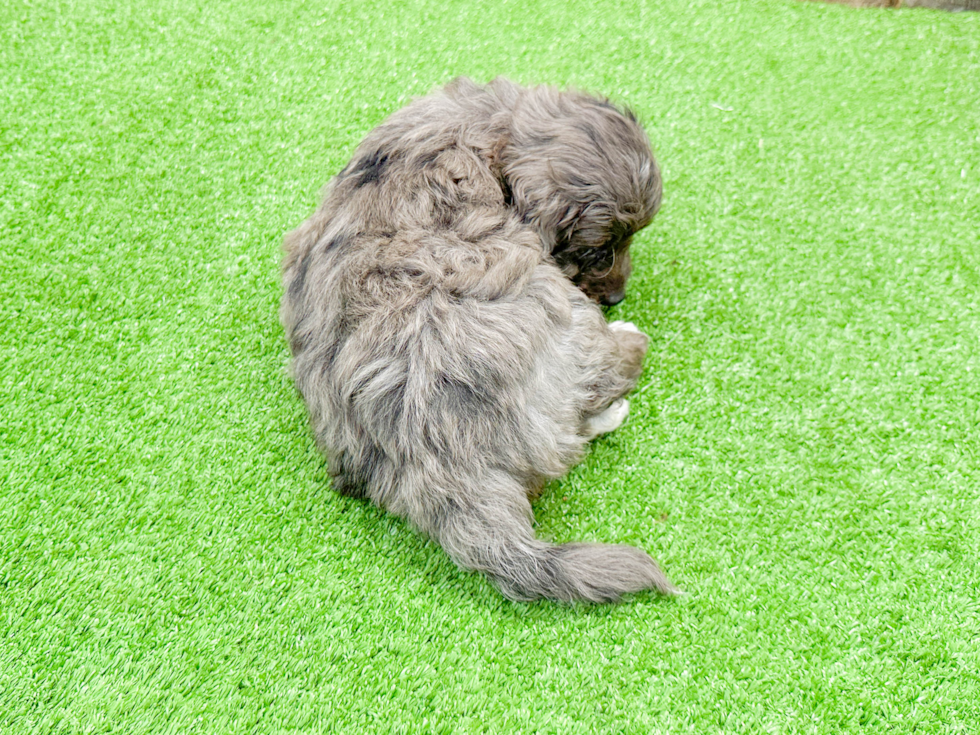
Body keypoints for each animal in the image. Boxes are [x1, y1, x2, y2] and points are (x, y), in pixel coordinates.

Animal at [278, 76, 672, 604]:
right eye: (598, 249)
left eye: (632, 237)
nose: (617, 297)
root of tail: (437, 457)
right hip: (548, 300)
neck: (493, 129)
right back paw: (626, 354)